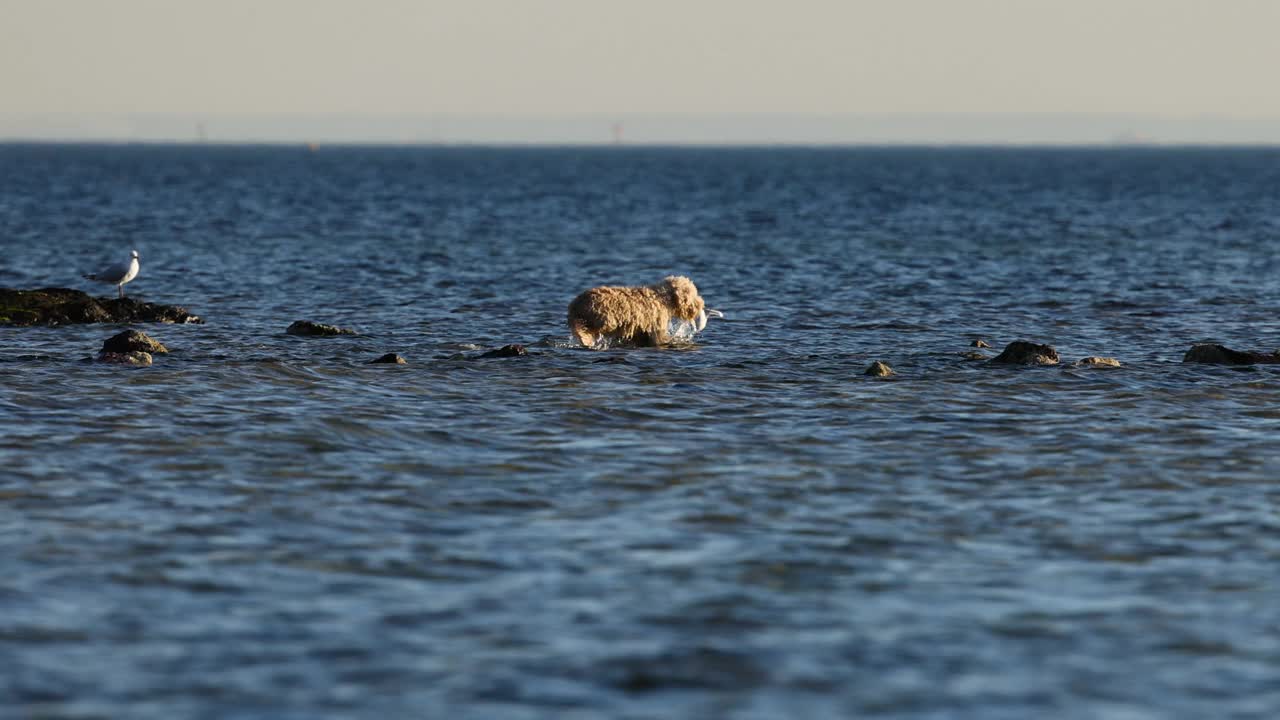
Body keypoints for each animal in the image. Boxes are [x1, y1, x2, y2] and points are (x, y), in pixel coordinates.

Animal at [568, 272, 721, 345]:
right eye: (693, 294)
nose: (701, 304)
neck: (663, 298)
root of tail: (574, 305)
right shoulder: (657, 325)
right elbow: (660, 338)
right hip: (601, 317)